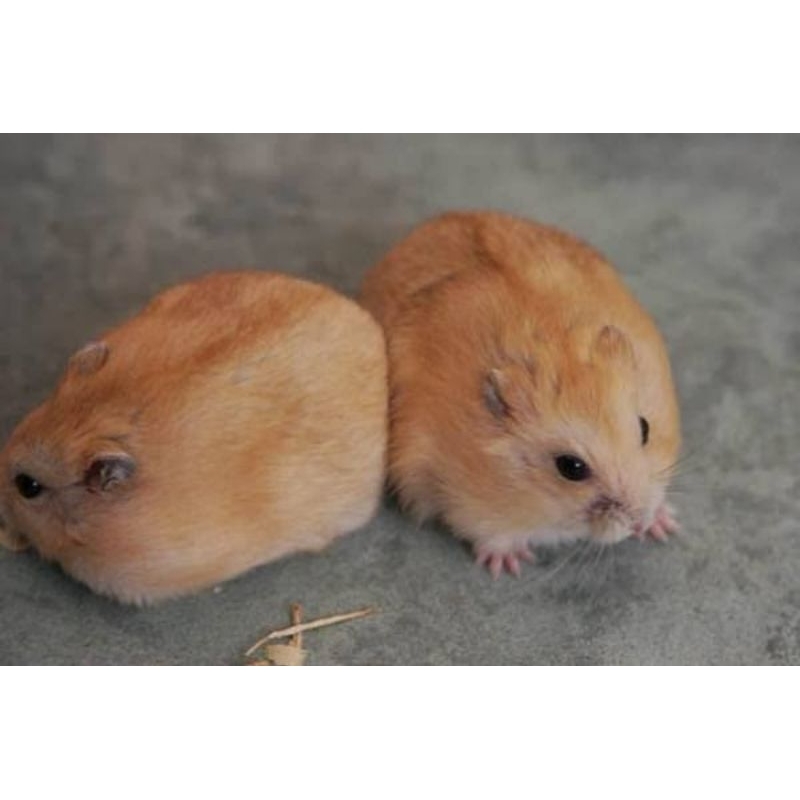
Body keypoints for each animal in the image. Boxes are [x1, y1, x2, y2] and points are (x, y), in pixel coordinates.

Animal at [360, 211, 681, 578]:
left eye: (644, 428)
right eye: (571, 467)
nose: (636, 520)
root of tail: (428, 225)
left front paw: (665, 526)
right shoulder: (471, 505)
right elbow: (492, 534)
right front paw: (510, 566)